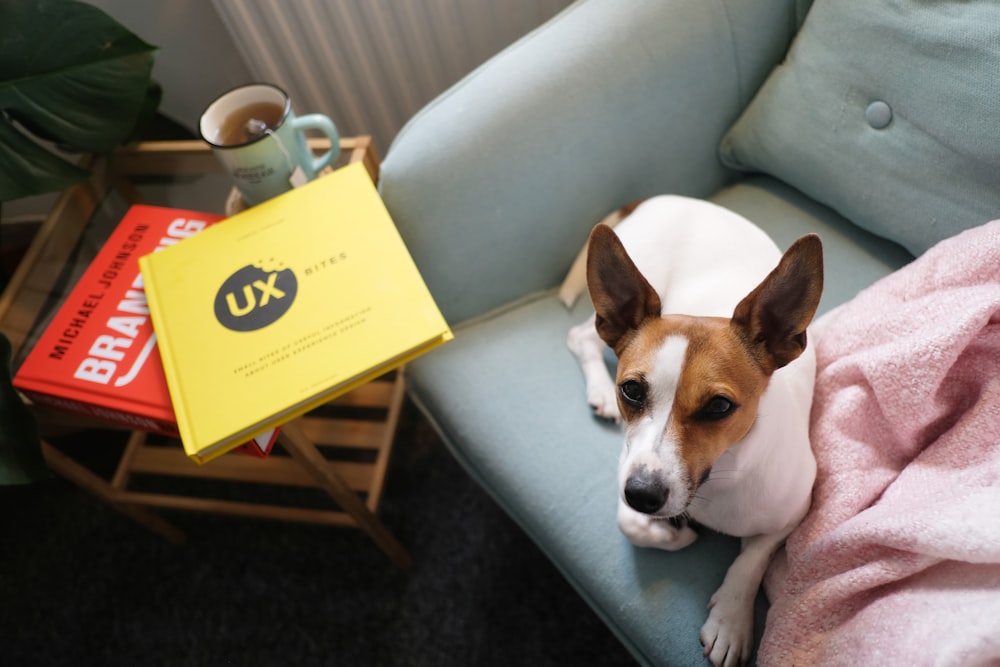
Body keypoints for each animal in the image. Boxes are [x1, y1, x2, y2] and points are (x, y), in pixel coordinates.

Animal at [568, 198, 824, 667]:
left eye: (719, 406)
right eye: (631, 390)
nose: (642, 495)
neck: (720, 479)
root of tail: (666, 198)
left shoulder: (794, 512)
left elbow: (751, 560)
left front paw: (731, 618)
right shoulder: (629, 472)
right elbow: (630, 525)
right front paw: (673, 534)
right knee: (581, 337)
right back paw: (596, 388)